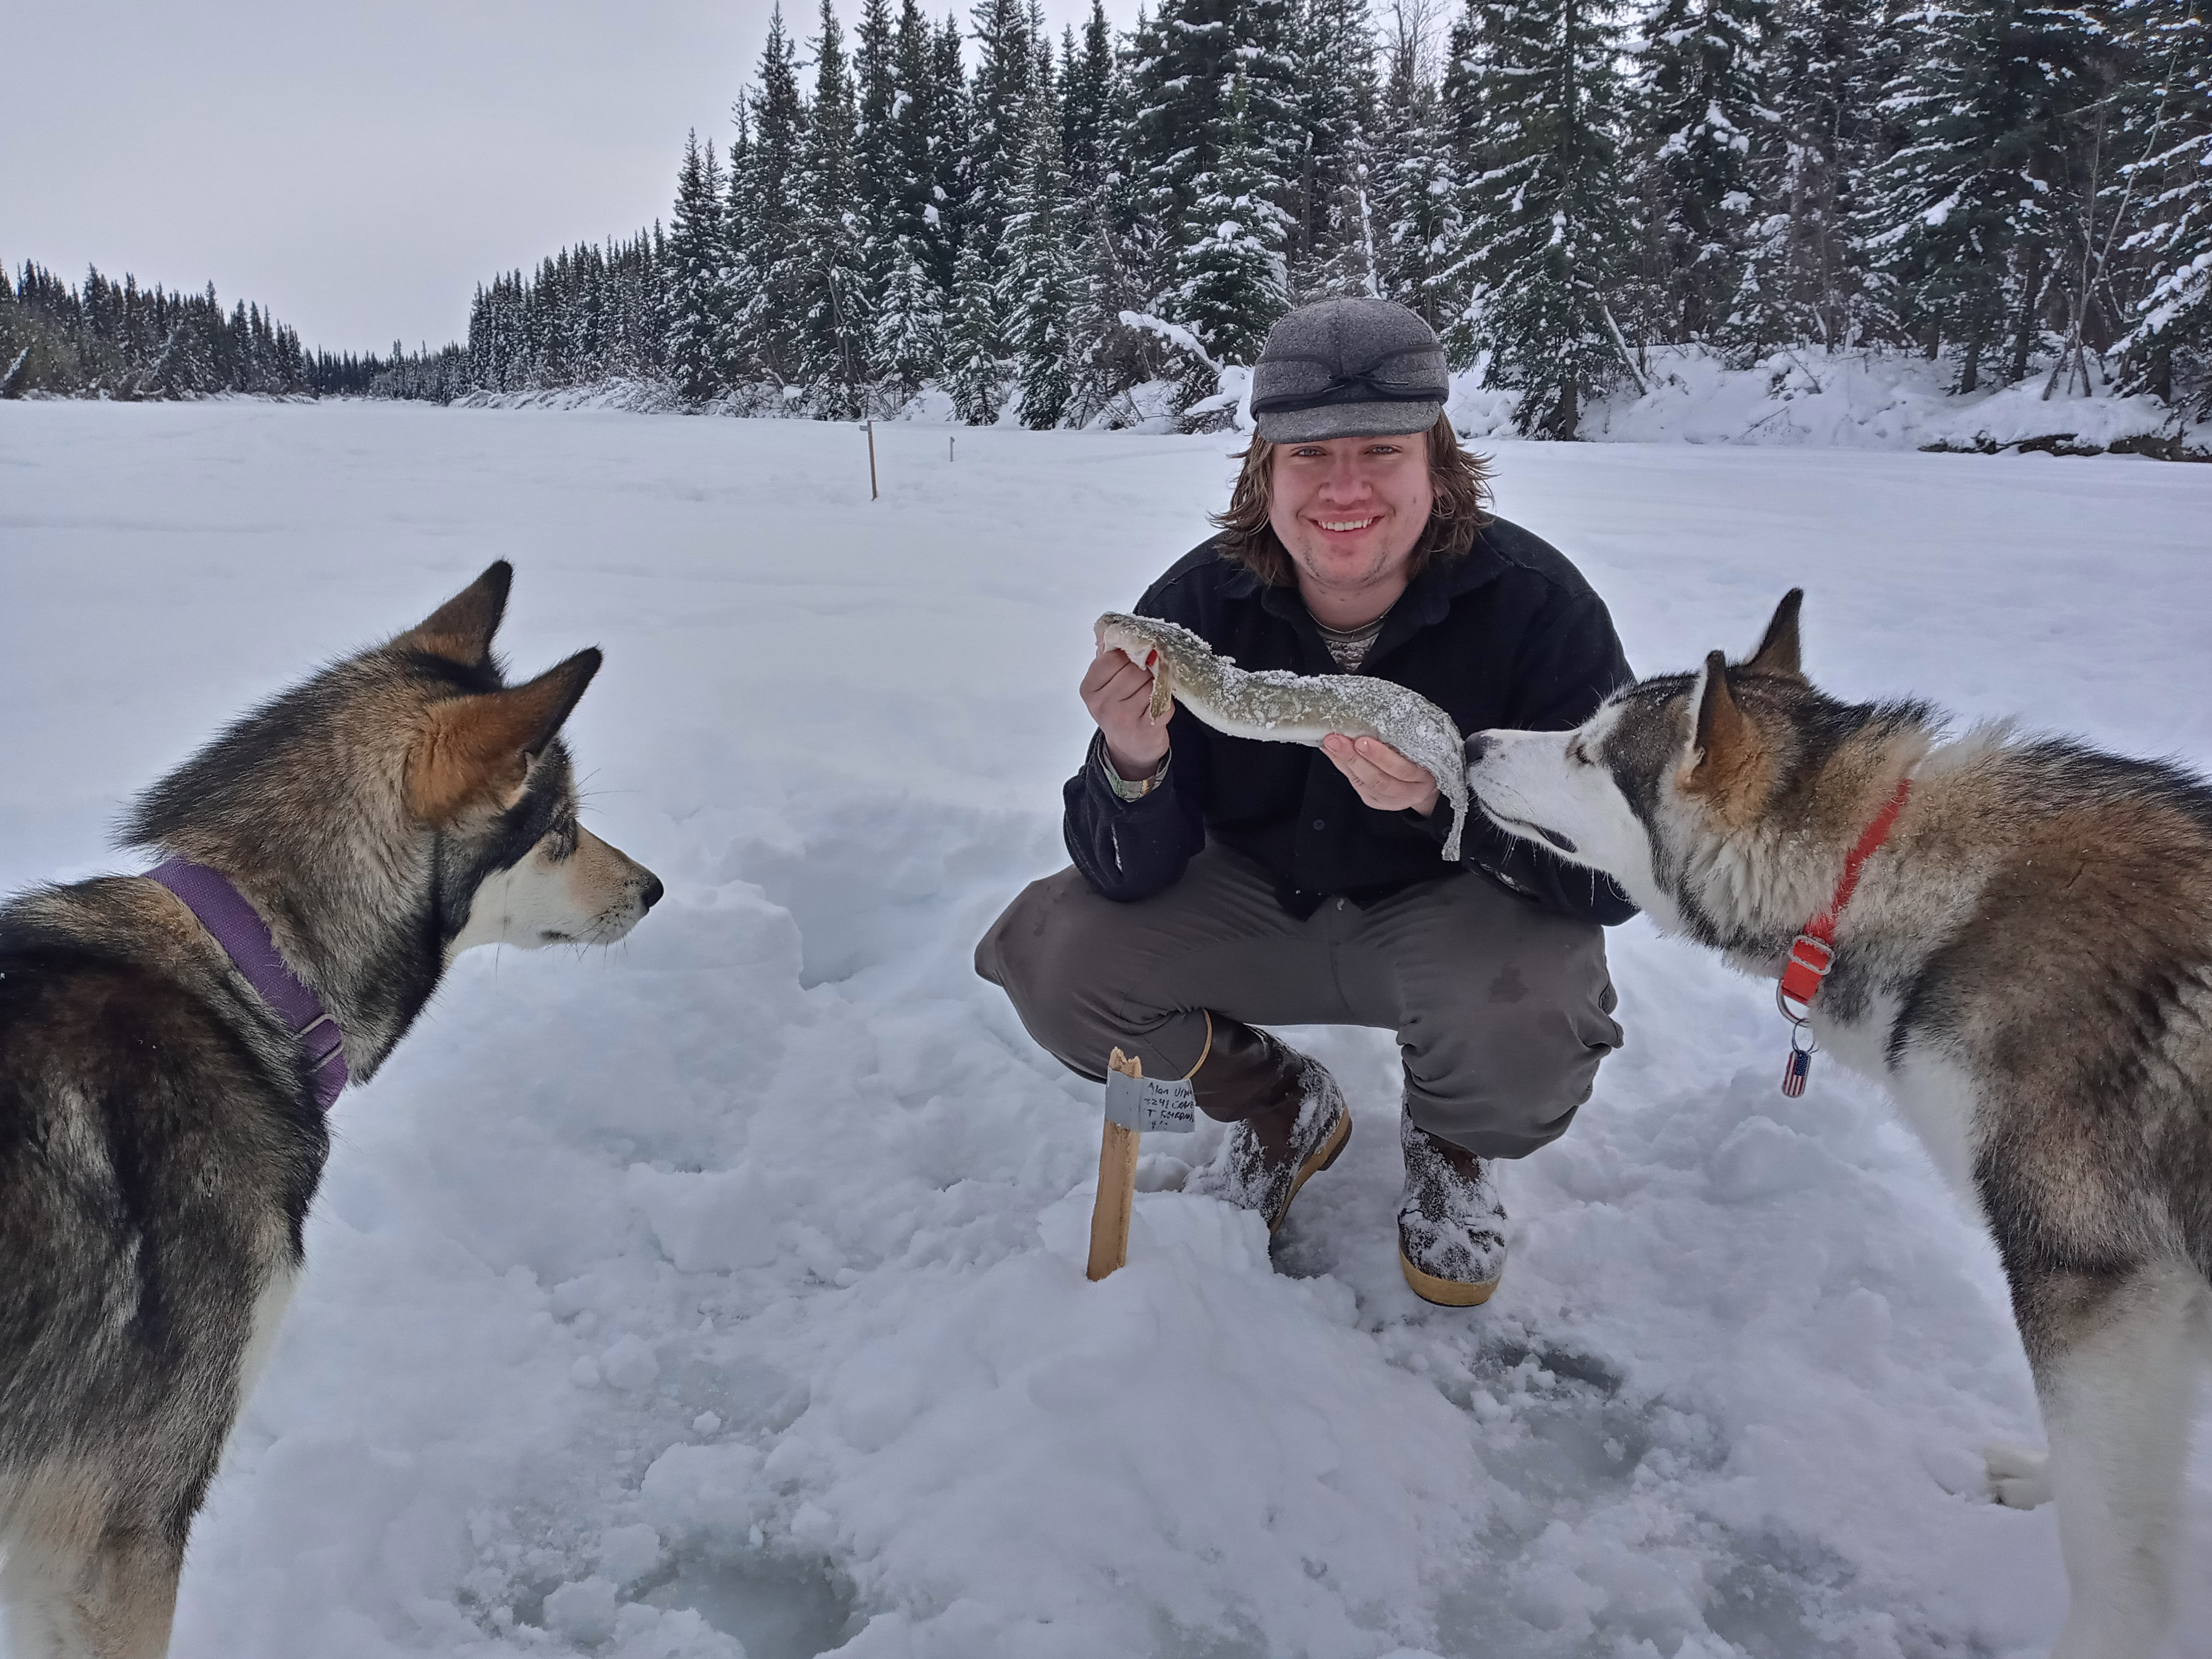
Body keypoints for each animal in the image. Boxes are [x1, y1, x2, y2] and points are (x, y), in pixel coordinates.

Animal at [1465, 590, 2211, 1659]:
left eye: (1587, 754)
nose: (1474, 738)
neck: (1880, 879)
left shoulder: (2093, 1270)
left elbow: (2109, 1532)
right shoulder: (2157, 1293)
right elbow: (2101, 1478)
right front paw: (2041, 1479)